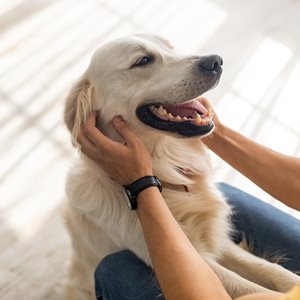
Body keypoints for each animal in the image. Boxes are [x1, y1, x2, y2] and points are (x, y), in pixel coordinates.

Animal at [62, 34, 298, 298]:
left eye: (171, 47)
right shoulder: (194, 259)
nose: (216, 61)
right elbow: (249, 287)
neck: (166, 173)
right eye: (143, 60)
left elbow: (272, 270)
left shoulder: (218, 238)